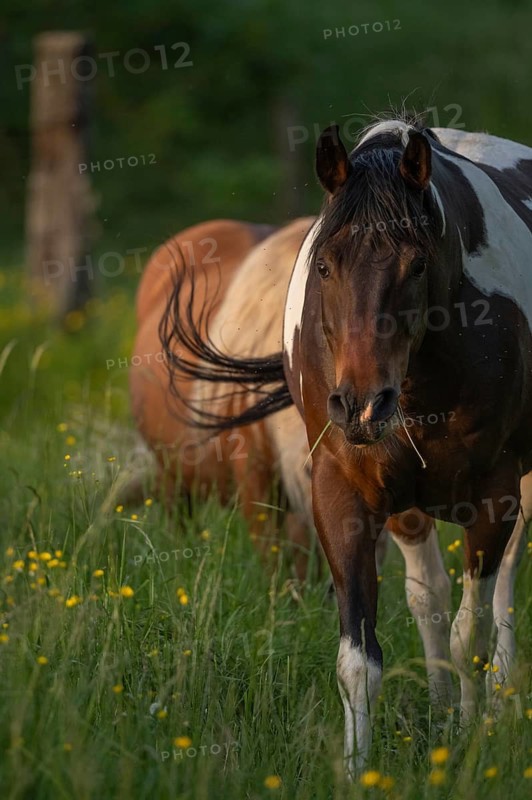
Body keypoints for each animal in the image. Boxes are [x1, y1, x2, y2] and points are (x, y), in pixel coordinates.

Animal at [161, 117, 532, 776]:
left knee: (503, 588)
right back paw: (441, 711)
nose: (361, 406)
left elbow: (473, 633)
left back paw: (493, 703)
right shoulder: (343, 496)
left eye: (417, 264)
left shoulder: (495, 497)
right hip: (407, 509)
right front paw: (361, 769)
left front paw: (472, 742)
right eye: (326, 266)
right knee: (429, 596)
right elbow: (360, 658)